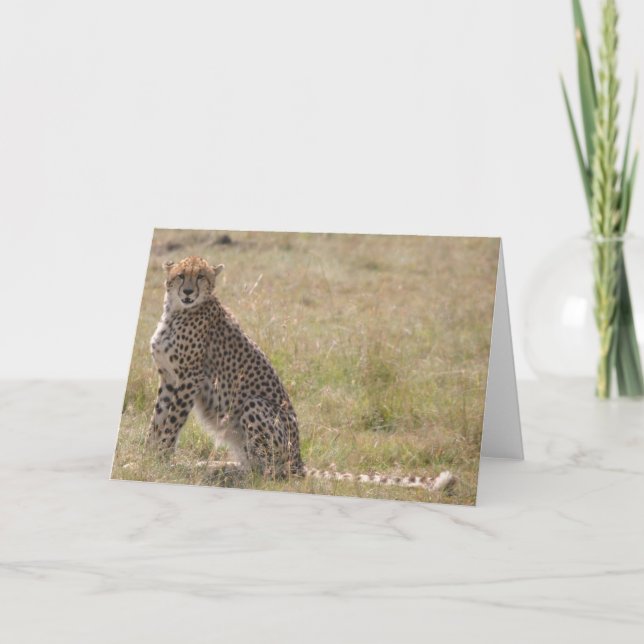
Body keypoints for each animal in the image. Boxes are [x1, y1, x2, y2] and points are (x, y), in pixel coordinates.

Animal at [146, 255, 455, 493]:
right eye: (180, 276)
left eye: (200, 277)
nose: (188, 291)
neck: (176, 312)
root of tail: (299, 462)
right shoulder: (169, 379)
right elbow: (157, 421)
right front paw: (145, 456)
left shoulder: (187, 380)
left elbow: (170, 424)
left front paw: (161, 462)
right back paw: (215, 466)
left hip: (255, 406)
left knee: (269, 475)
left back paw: (227, 474)